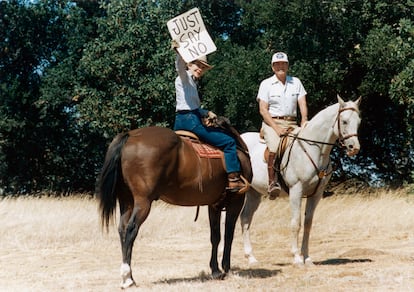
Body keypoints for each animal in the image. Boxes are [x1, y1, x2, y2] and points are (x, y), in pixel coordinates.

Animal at [98, 125, 252, 288]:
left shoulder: (214, 205)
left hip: (126, 200)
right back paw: (127, 278)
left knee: (122, 229)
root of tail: (130, 136)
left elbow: (215, 236)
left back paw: (129, 277)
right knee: (130, 230)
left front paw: (215, 270)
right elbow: (229, 235)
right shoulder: (236, 201)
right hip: (143, 202)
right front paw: (226, 269)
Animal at [241, 95, 360, 264]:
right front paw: (297, 258)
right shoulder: (296, 191)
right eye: (344, 121)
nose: (354, 148)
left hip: (253, 193)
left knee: (245, 218)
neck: (314, 149)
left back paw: (251, 258)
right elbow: (295, 223)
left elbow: (308, 223)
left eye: (358, 122)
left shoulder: (316, 194)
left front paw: (308, 258)